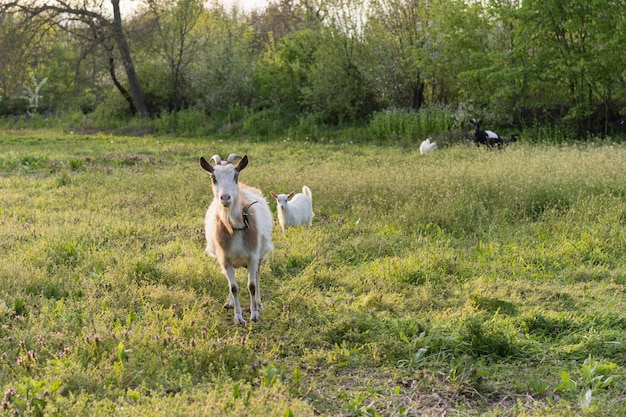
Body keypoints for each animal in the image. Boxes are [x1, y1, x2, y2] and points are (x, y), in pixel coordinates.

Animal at [197, 154, 270, 324]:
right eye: (213, 177)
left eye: (235, 176)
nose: (225, 197)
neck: (235, 226)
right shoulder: (225, 259)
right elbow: (234, 287)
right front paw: (238, 317)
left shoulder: (253, 257)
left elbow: (251, 286)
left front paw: (254, 315)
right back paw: (229, 303)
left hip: (260, 255)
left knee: (257, 276)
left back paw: (258, 303)